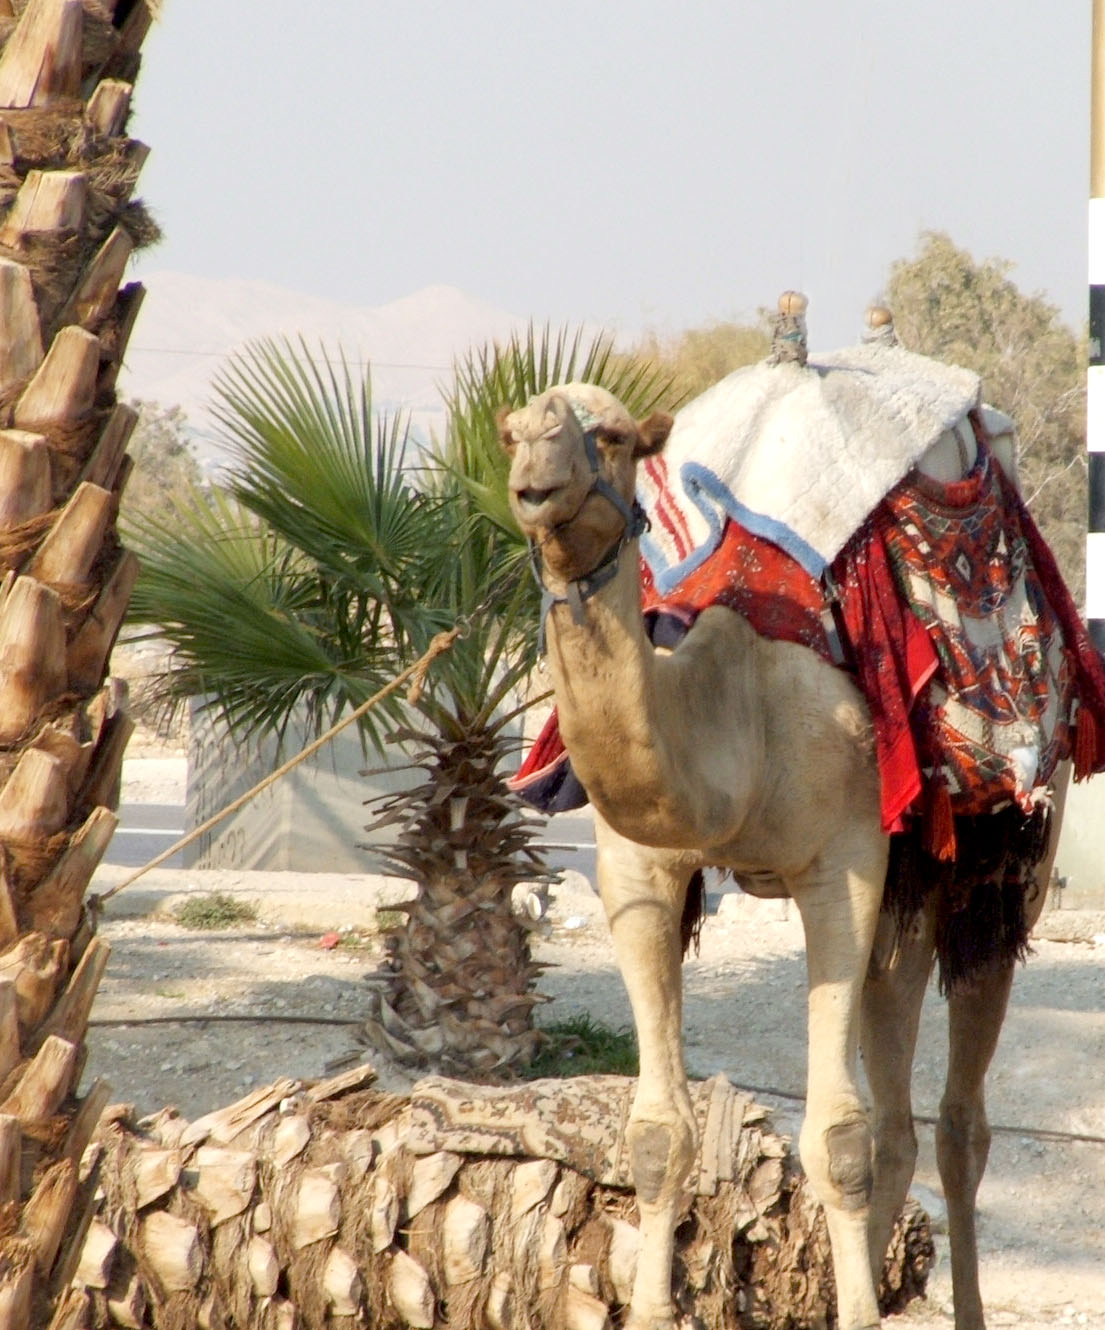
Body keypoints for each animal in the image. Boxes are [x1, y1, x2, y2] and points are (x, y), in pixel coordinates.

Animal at [497, 348, 1074, 1324]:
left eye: (608, 436)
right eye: (510, 431)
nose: (535, 480)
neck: (733, 709)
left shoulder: (839, 861)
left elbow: (834, 1139)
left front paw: (857, 1311)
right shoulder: (637, 871)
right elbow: (657, 1133)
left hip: (1010, 856)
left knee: (959, 1119)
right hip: (907, 892)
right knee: (897, 1105)